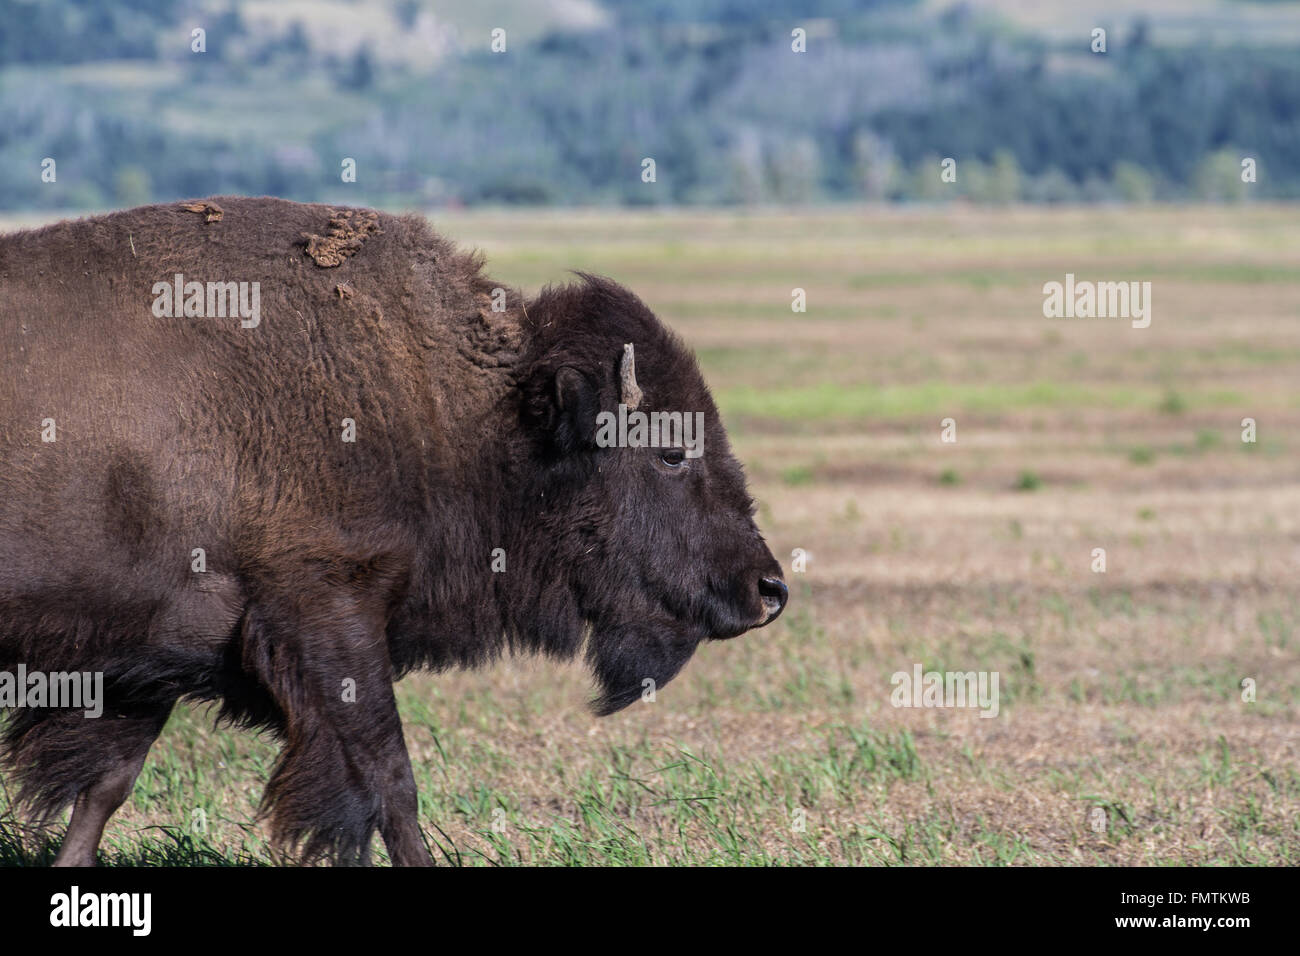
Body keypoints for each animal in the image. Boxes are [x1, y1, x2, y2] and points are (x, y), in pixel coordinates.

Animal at [0, 197, 786, 866]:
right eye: (671, 451)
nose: (769, 588)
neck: (459, 413)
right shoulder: (330, 618)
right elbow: (390, 780)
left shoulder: (142, 659)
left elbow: (104, 788)